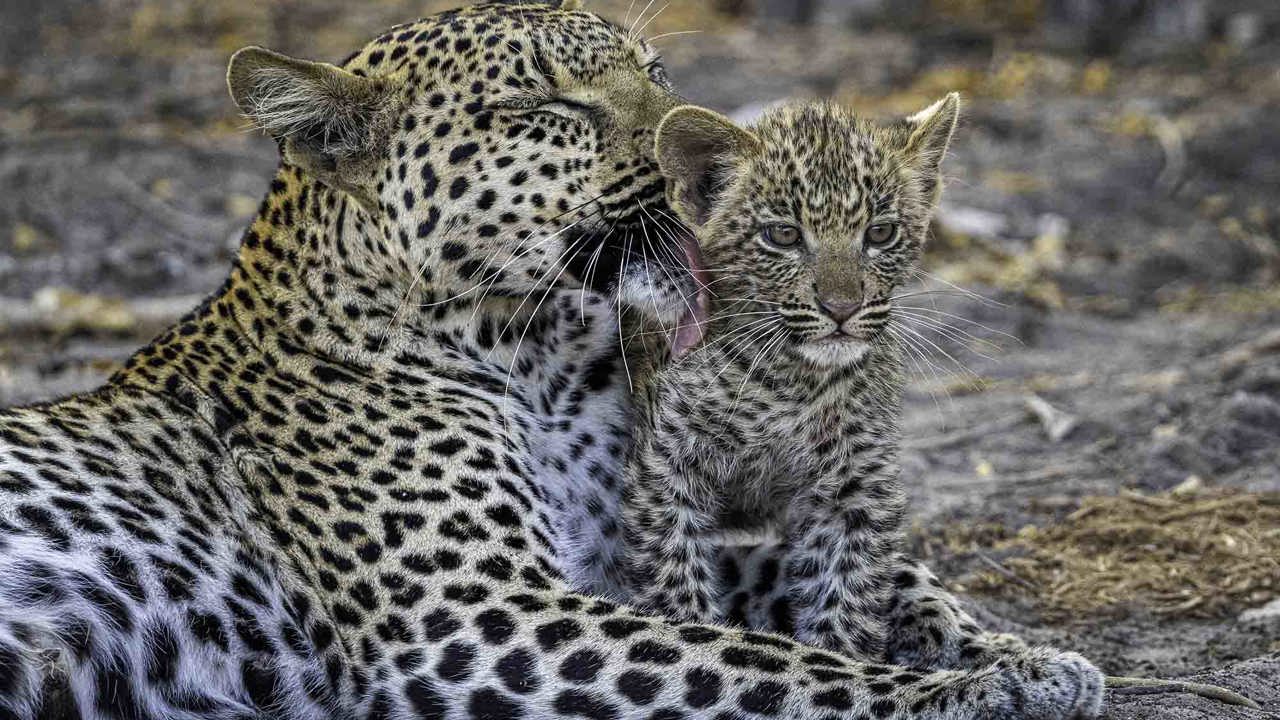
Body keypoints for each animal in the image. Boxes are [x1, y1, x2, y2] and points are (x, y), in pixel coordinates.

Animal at [0, 2, 1102, 719]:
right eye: (550, 107)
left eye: (653, 73)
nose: (699, 139)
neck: (533, 353)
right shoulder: (472, 613)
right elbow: (754, 658)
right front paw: (969, 690)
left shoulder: (611, 550)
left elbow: (824, 579)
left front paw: (1029, 657)